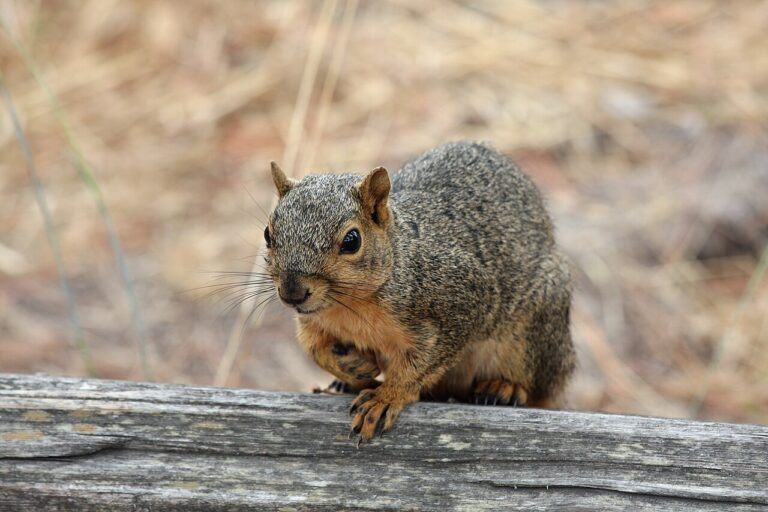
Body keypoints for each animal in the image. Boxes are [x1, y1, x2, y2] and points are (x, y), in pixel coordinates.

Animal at [264, 141, 575, 442]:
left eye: (352, 241)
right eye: (268, 233)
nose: (292, 293)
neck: (349, 307)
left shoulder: (466, 298)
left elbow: (422, 364)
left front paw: (387, 397)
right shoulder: (314, 322)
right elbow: (314, 349)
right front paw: (352, 366)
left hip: (532, 333)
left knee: (537, 385)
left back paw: (504, 387)